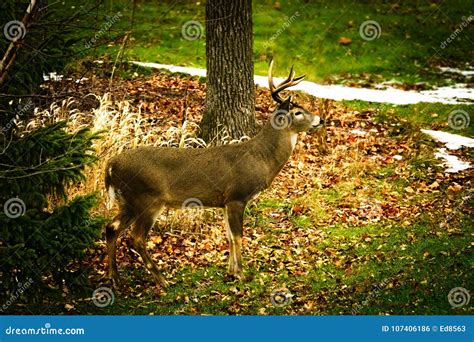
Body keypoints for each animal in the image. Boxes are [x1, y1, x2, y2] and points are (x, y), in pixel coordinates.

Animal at [105, 60, 324, 286]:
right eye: (297, 112)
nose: (320, 119)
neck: (261, 158)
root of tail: (111, 165)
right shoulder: (237, 196)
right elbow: (238, 236)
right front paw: (241, 274)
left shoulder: (225, 202)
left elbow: (229, 236)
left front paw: (231, 271)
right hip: (147, 198)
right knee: (137, 237)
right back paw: (161, 279)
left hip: (128, 200)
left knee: (111, 228)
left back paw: (114, 276)